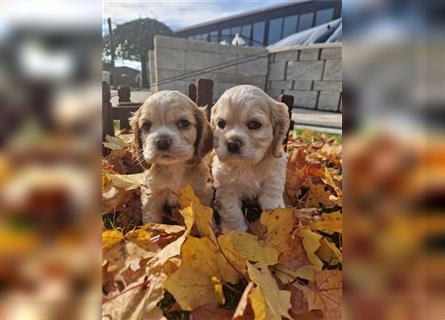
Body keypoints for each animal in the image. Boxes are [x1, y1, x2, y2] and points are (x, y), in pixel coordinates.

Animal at [129, 91, 212, 224]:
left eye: (183, 123)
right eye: (146, 125)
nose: (162, 142)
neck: (175, 167)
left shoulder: (201, 191)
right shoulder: (153, 193)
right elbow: (151, 219)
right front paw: (153, 230)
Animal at [210, 84, 290, 230]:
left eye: (255, 124)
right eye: (221, 124)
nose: (232, 143)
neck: (247, 165)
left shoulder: (274, 175)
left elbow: (272, 199)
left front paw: (277, 221)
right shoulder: (226, 189)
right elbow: (232, 212)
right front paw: (235, 232)